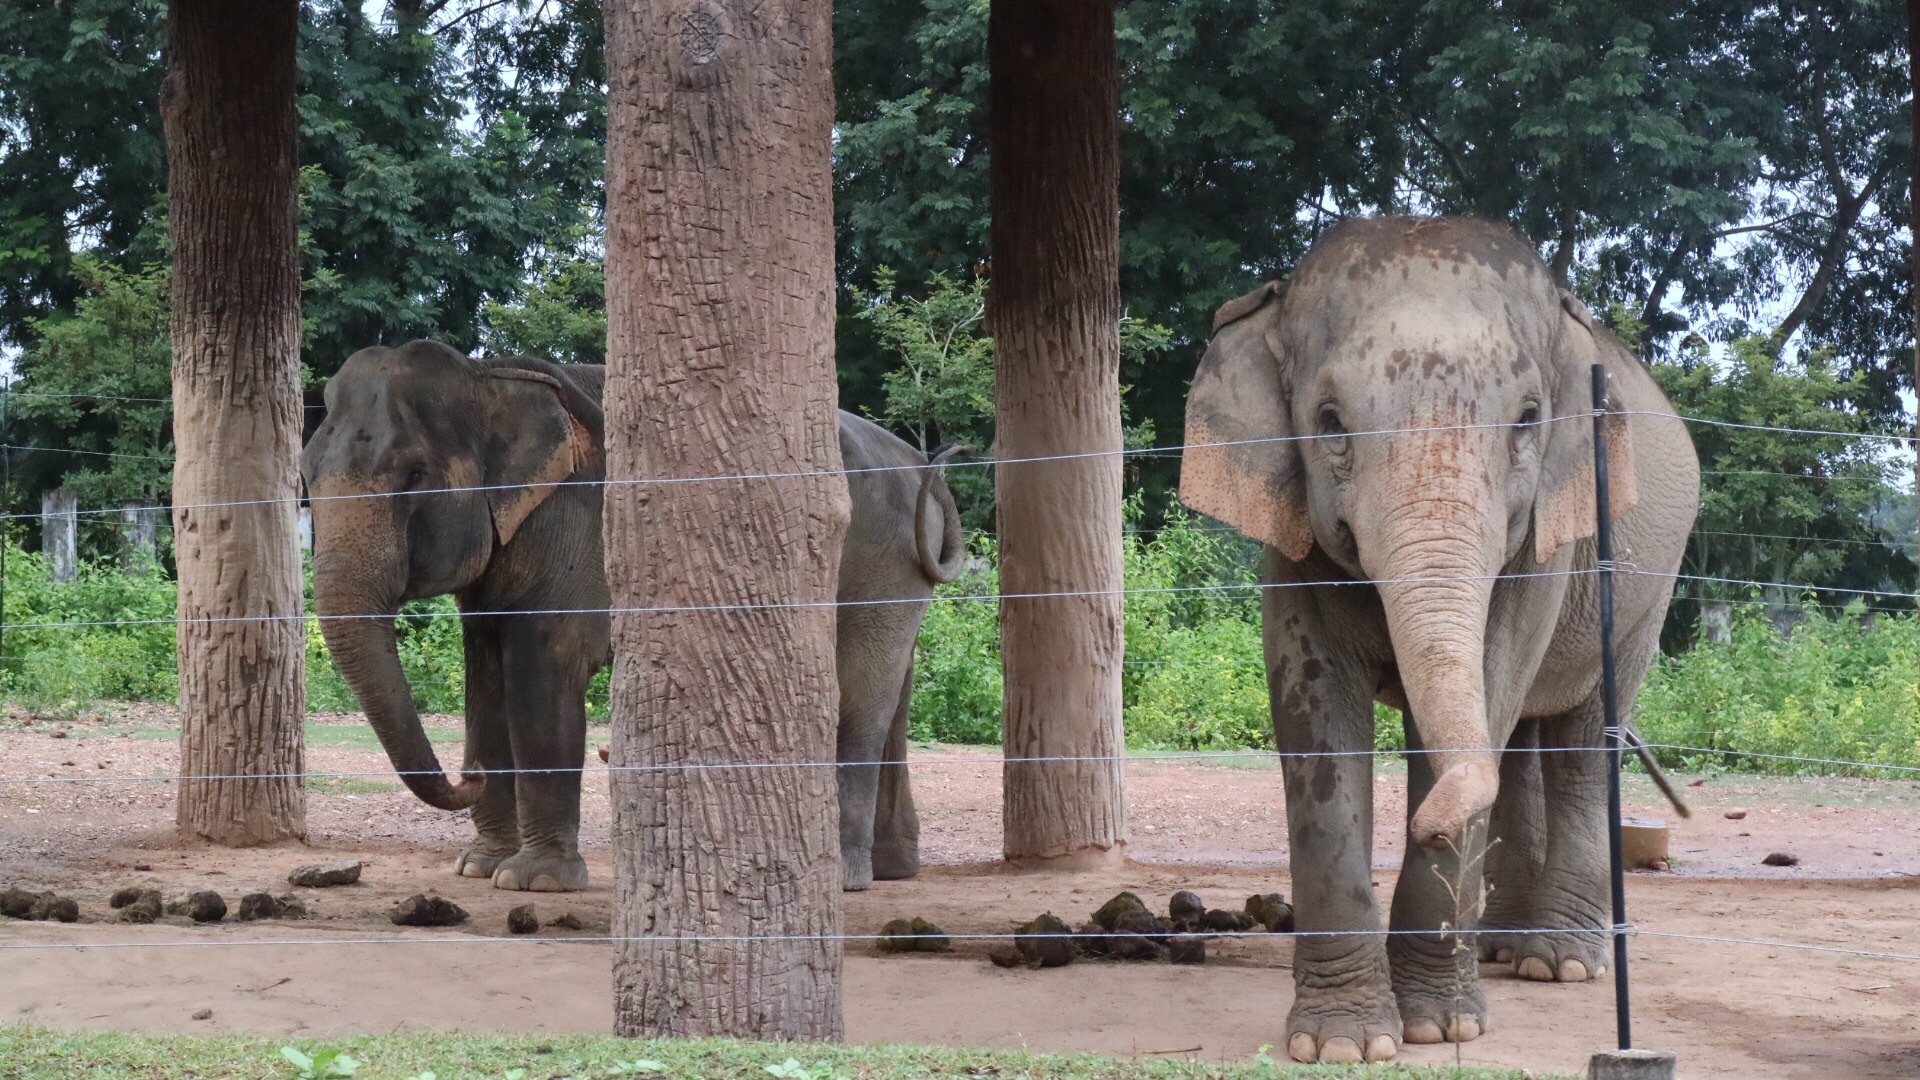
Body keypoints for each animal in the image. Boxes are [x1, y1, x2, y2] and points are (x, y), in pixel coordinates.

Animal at [305, 338, 967, 891]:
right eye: (306, 475)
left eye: (414, 474)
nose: (470, 775)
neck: (485, 375)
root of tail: (920, 465)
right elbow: (484, 673)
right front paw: (480, 867)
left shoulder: (574, 531)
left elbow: (542, 669)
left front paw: (534, 882)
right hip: (899, 572)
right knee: (895, 693)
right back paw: (893, 871)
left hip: (878, 560)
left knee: (855, 695)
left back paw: (842, 877)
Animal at [1175, 216, 1704, 1060]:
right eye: (1329, 423)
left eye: (1527, 420)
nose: (1422, 828)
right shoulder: (1290, 539)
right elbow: (1316, 712)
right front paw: (1345, 1045)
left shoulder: (1547, 537)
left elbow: (1489, 679)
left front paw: (1439, 1026)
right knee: (1518, 742)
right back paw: (1499, 947)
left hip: (1645, 589)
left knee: (1581, 739)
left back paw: (1556, 963)